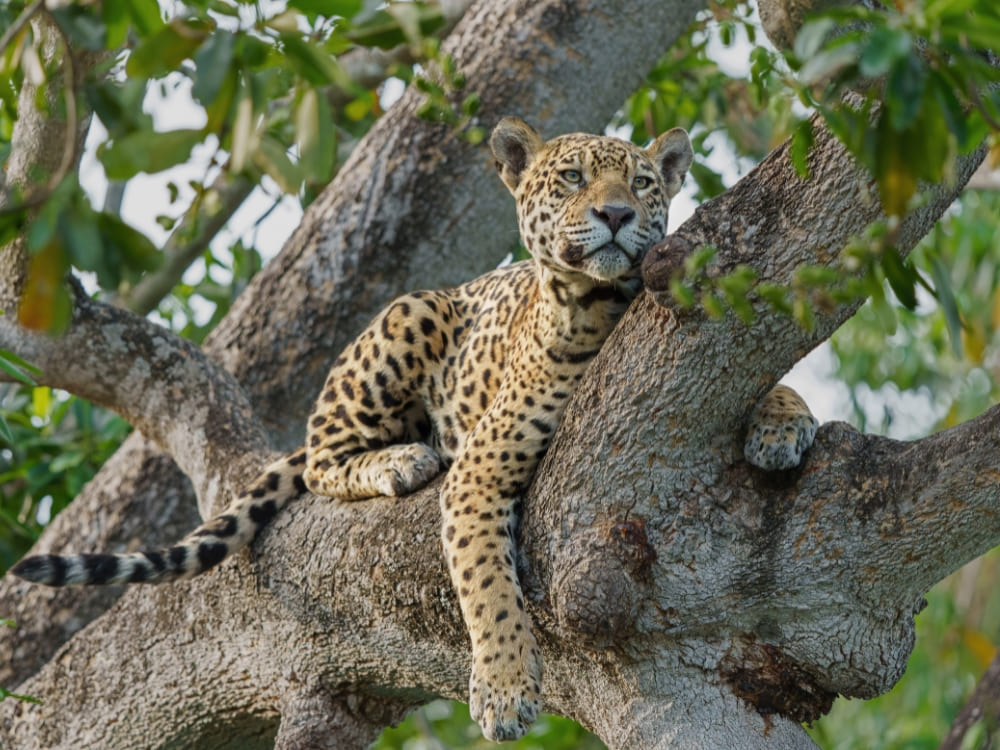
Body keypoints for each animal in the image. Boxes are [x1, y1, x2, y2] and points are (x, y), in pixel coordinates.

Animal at [11, 117, 817, 742]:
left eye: (645, 184)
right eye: (572, 178)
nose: (617, 214)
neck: (606, 306)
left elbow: (776, 379)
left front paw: (782, 426)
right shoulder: (480, 472)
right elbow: (487, 586)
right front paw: (504, 690)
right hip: (408, 315)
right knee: (323, 456)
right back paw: (399, 459)